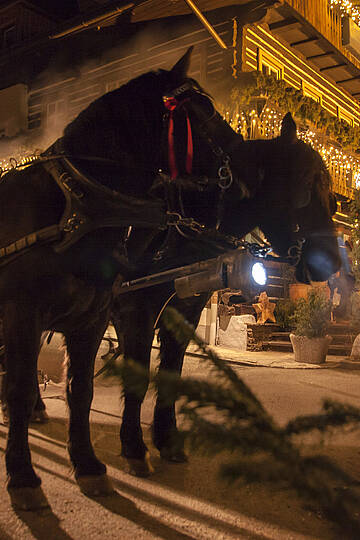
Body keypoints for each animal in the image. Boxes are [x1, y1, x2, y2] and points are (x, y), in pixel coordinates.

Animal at [0, 47, 340, 510]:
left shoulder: (179, 310)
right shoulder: (131, 310)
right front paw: (132, 447)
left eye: (332, 195)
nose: (333, 264)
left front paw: (166, 440)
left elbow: (162, 376)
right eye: (306, 187)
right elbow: (134, 378)